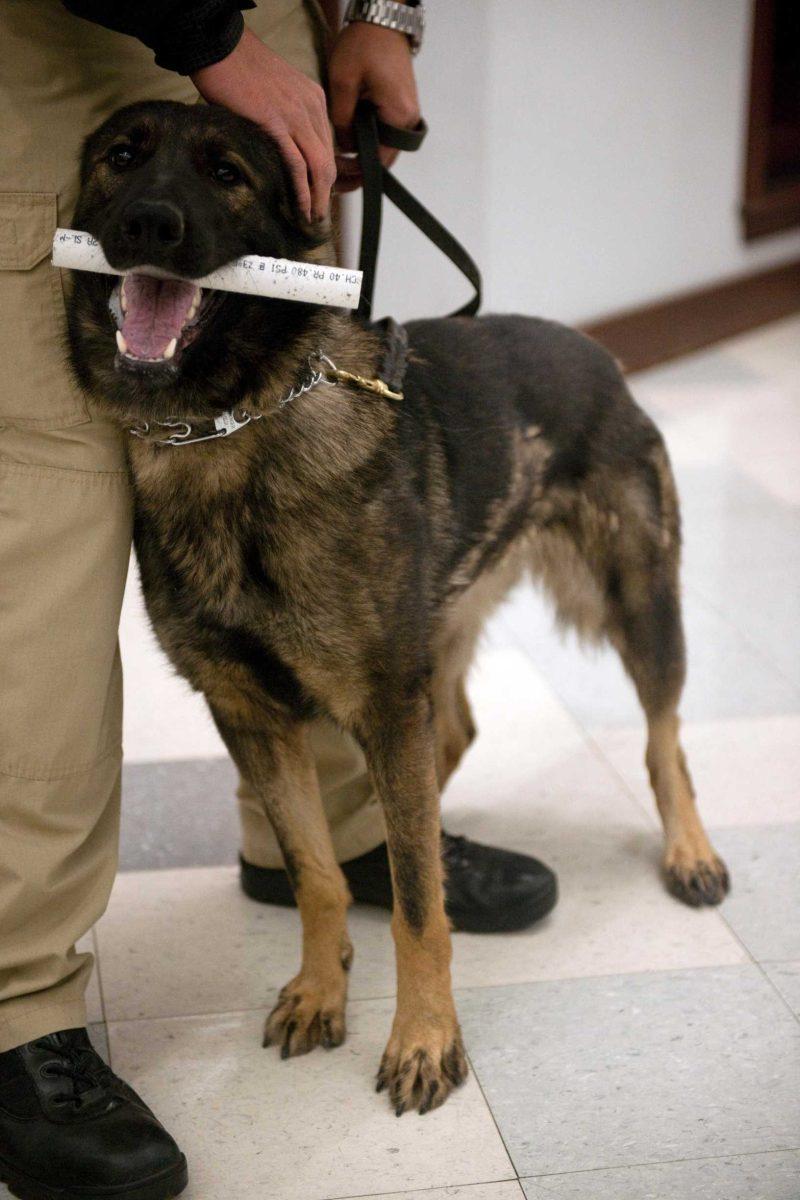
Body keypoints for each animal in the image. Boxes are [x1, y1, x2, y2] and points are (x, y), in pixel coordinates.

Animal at [68, 100, 734, 1113]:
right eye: (120, 156)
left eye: (226, 173)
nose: (148, 225)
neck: (229, 432)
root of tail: (602, 352)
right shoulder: (252, 716)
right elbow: (313, 873)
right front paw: (321, 987)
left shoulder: (382, 702)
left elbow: (421, 906)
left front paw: (424, 1037)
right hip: (441, 635)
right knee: (451, 735)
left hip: (638, 605)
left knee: (664, 741)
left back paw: (687, 849)